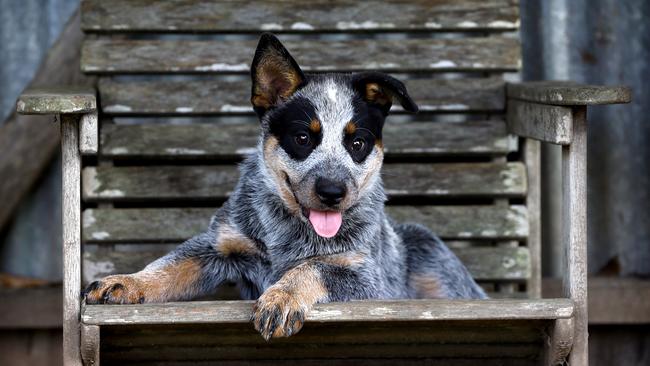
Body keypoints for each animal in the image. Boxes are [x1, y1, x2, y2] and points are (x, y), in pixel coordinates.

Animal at [82, 33, 486, 338]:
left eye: (357, 143)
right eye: (303, 138)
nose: (332, 192)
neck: (290, 233)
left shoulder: (368, 278)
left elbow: (314, 268)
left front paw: (282, 299)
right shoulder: (221, 244)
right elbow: (170, 265)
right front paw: (126, 282)